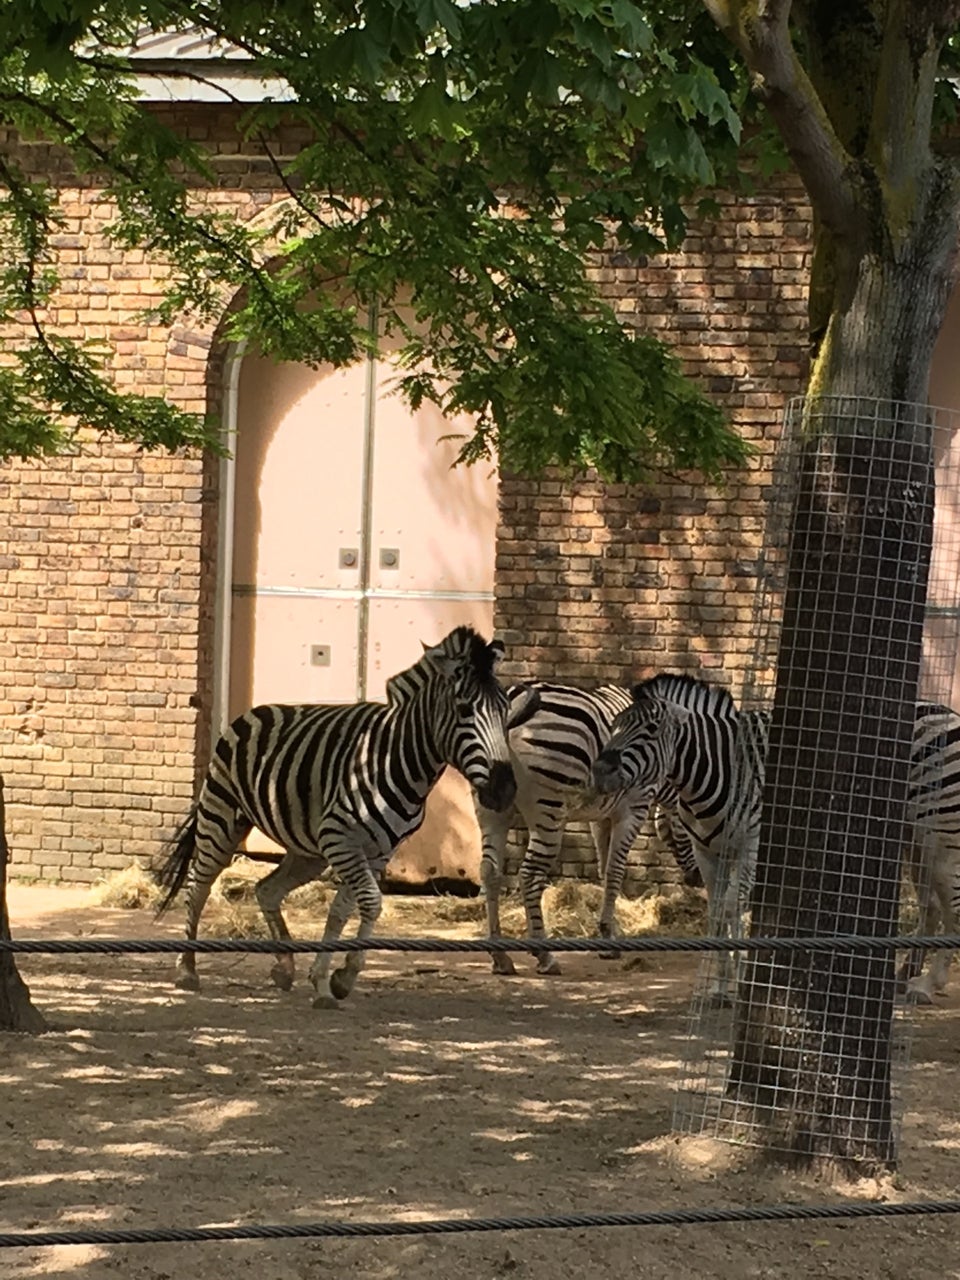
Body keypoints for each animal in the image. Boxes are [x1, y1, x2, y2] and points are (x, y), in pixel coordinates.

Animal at [154, 624, 537, 1003]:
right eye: (463, 709)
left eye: (505, 709)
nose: (504, 789)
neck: (400, 757)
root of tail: (251, 712)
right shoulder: (340, 838)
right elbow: (369, 902)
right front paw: (335, 977)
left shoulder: (378, 849)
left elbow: (348, 907)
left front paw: (334, 977)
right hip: (222, 818)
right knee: (198, 885)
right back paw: (187, 969)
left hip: (307, 853)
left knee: (266, 890)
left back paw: (285, 966)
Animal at [478, 686, 701, 972]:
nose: (696, 879)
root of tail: (515, 702)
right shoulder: (634, 807)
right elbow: (616, 871)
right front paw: (608, 934)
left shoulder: (600, 817)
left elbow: (604, 871)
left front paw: (611, 936)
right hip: (549, 809)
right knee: (529, 874)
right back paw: (544, 955)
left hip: (492, 807)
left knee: (490, 872)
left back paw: (500, 956)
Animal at [593, 675, 960, 1003]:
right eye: (614, 725)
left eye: (651, 730)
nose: (599, 771)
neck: (721, 768)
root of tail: (948, 713)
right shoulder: (710, 853)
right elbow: (718, 913)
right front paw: (719, 985)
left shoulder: (752, 846)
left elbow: (731, 909)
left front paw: (740, 979)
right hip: (915, 839)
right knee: (931, 905)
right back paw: (905, 976)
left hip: (939, 837)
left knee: (950, 905)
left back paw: (928, 985)